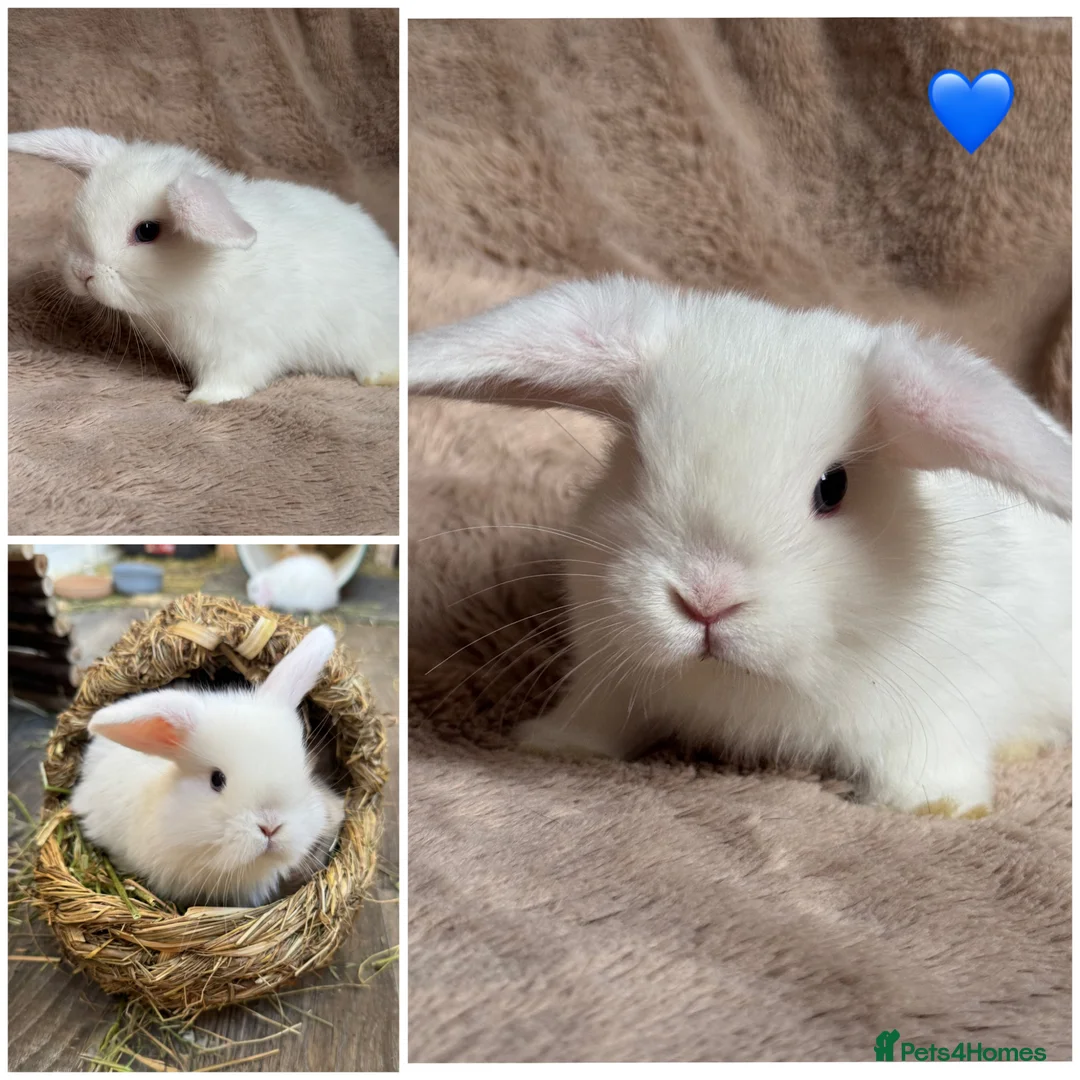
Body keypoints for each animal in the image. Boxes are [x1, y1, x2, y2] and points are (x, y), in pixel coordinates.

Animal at [409, 275, 1072, 818]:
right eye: (637, 463)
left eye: (833, 487)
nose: (706, 600)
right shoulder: (608, 675)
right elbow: (596, 719)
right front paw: (560, 745)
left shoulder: (939, 703)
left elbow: (927, 758)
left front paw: (938, 806)